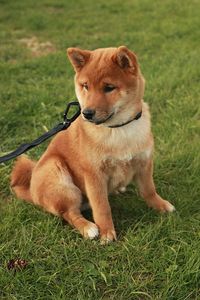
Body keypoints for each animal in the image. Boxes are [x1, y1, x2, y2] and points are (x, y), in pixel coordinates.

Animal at [10, 47, 175, 244]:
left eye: (109, 87)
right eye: (85, 86)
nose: (87, 113)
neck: (118, 129)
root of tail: (33, 193)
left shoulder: (144, 162)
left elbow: (149, 190)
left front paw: (161, 205)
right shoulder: (94, 174)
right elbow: (102, 207)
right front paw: (107, 233)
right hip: (57, 173)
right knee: (69, 213)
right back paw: (87, 227)